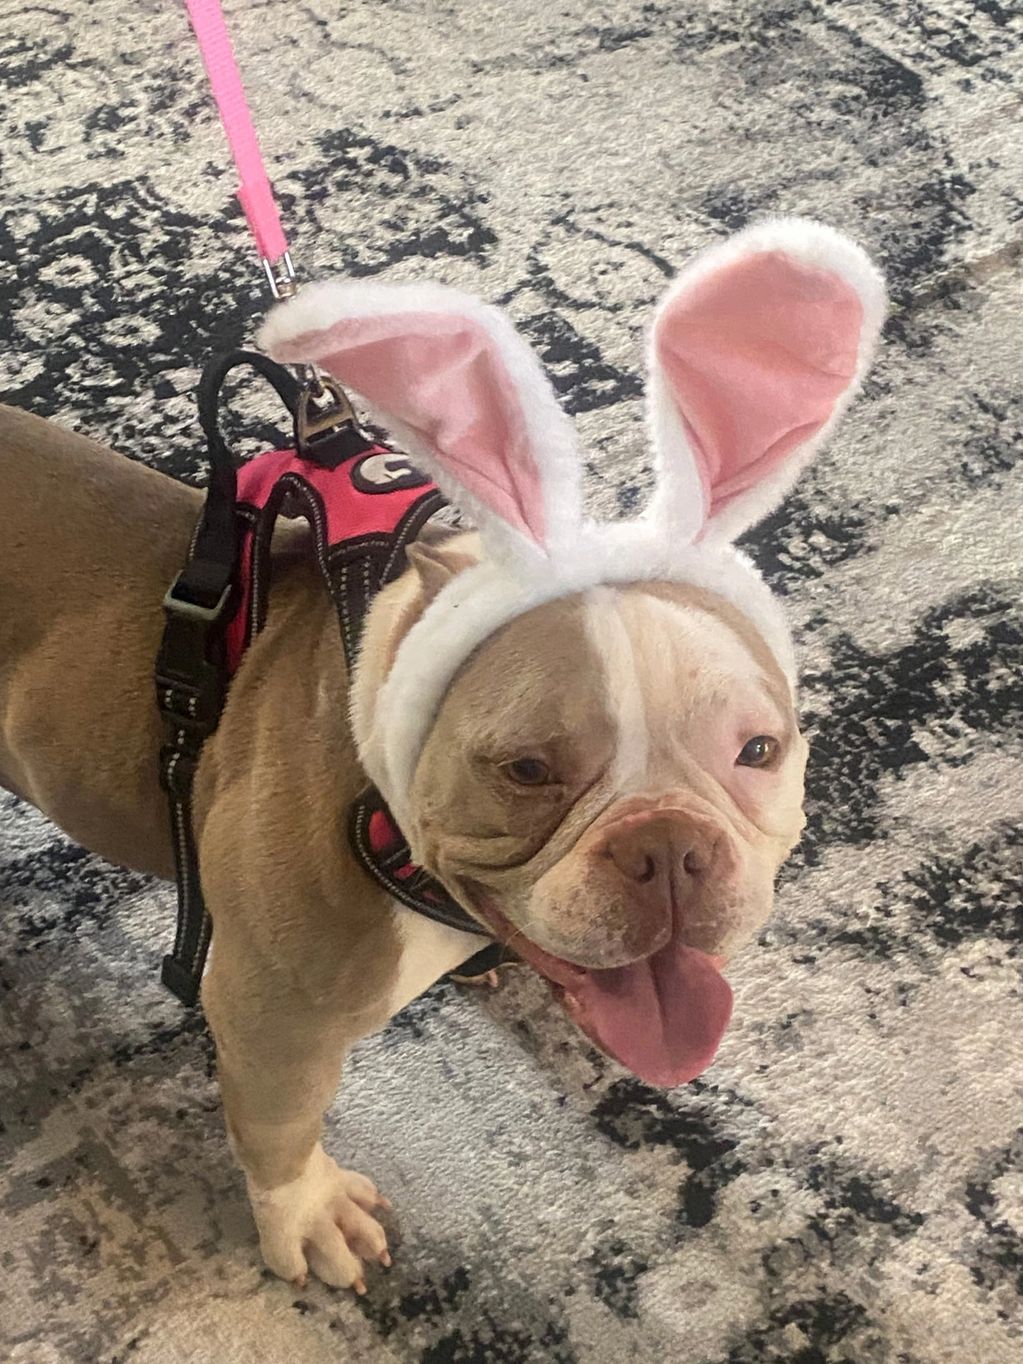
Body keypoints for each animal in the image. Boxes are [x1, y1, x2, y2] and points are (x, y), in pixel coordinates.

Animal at [0, 219, 885, 1290]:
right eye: (527, 771)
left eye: (757, 749)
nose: (669, 848)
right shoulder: (272, 1009)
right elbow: (280, 1122)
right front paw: (308, 1216)